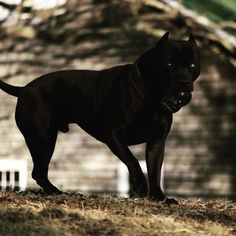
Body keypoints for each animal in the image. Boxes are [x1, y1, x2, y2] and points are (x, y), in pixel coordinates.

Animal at [0, 32, 199, 204]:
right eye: (169, 65)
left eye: (192, 66)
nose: (184, 82)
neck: (150, 98)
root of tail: (24, 88)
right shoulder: (114, 135)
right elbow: (132, 160)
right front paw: (140, 186)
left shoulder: (156, 142)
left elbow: (154, 170)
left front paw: (160, 197)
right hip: (43, 139)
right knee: (39, 172)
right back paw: (56, 192)